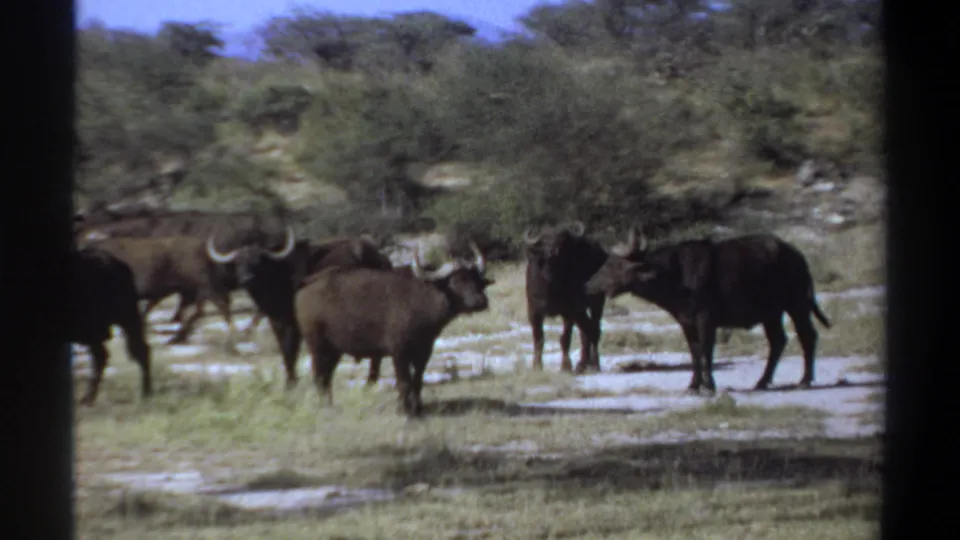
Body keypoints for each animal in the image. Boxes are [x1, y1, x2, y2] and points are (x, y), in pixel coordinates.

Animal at [294, 243, 493, 417]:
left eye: (476, 279)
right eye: (457, 280)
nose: (481, 301)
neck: (421, 300)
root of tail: (305, 288)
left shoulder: (424, 353)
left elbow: (417, 380)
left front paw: (418, 407)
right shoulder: (399, 353)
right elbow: (404, 382)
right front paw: (406, 410)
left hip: (334, 351)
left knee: (326, 376)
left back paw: (329, 404)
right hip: (317, 346)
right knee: (319, 376)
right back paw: (324, 406)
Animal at [523, 222, 609, 373]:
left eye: (562, 241)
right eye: (545, 241)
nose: (554, 251)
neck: (551, 283)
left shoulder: (569, 312)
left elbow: (565, 339)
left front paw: (566, 366)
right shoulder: (534, 311)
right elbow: (538, 339)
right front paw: (537, 365)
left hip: (597, 303)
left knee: (595, 329)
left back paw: (595, 364)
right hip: (581, 310)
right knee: (586, 332)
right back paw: (582, 364)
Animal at [584, 225, 832, 393]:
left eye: (615, 265)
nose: (589, 285)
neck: (676, 276)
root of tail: (798, 257)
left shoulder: (706, 320)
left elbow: (706, 350)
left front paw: (709, 385)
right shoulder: (686, 322)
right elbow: (694, 351)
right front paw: (694, 385)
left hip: (797, 305)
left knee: (807, 336)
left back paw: (804, 380)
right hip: (772, 314)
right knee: (778, 341)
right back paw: (762, 382)